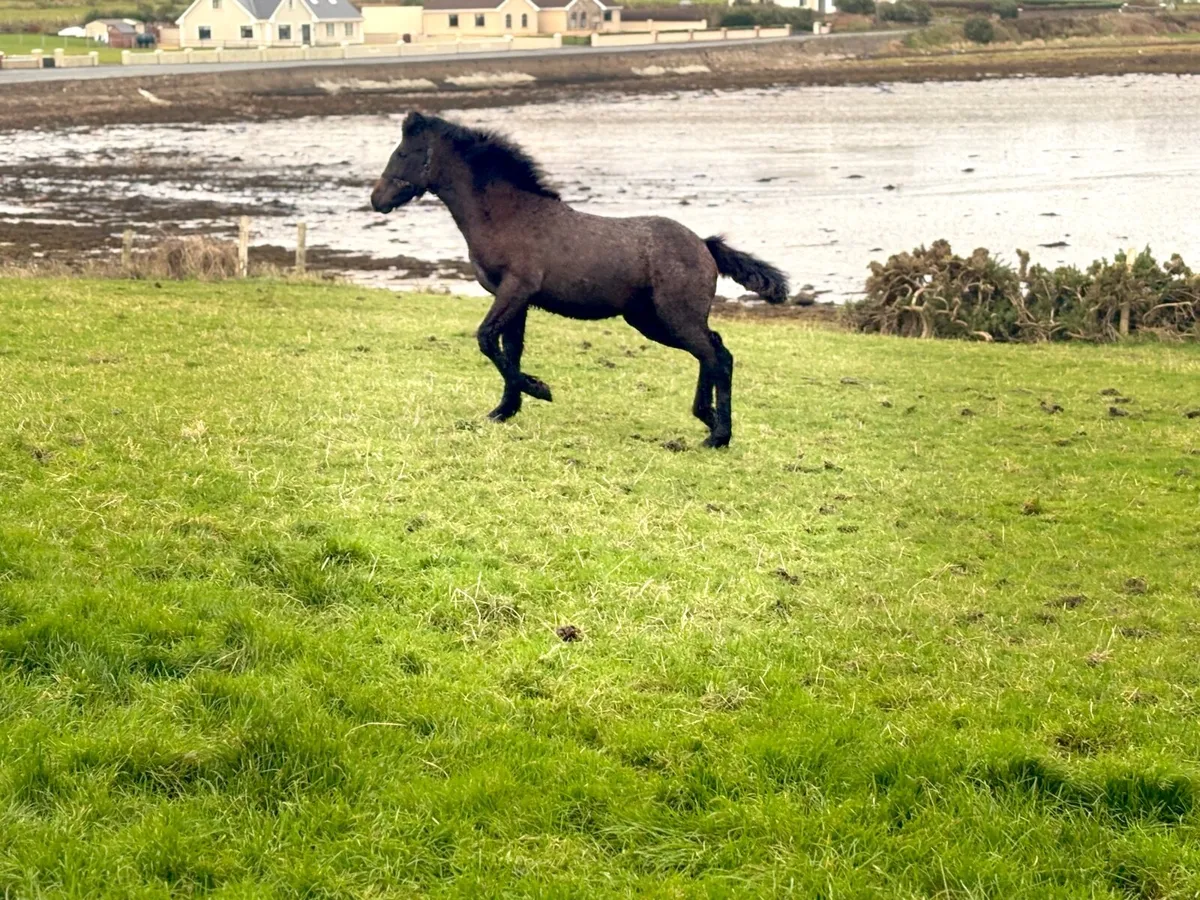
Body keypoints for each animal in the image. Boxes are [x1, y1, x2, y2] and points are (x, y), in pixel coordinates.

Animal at [370, 111, 789, 448]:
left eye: (403, 154)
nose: (377, 199)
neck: (508, 216)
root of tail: (704, 245)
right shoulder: (519, 300)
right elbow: (509, 349)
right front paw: (505, 409)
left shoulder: (515, 289)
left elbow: (487, 340)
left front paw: (539, 390)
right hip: (652, 321)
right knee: (713, 351)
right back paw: (709, 420)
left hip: (675, 318)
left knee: (718, 357)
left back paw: (718, 434)